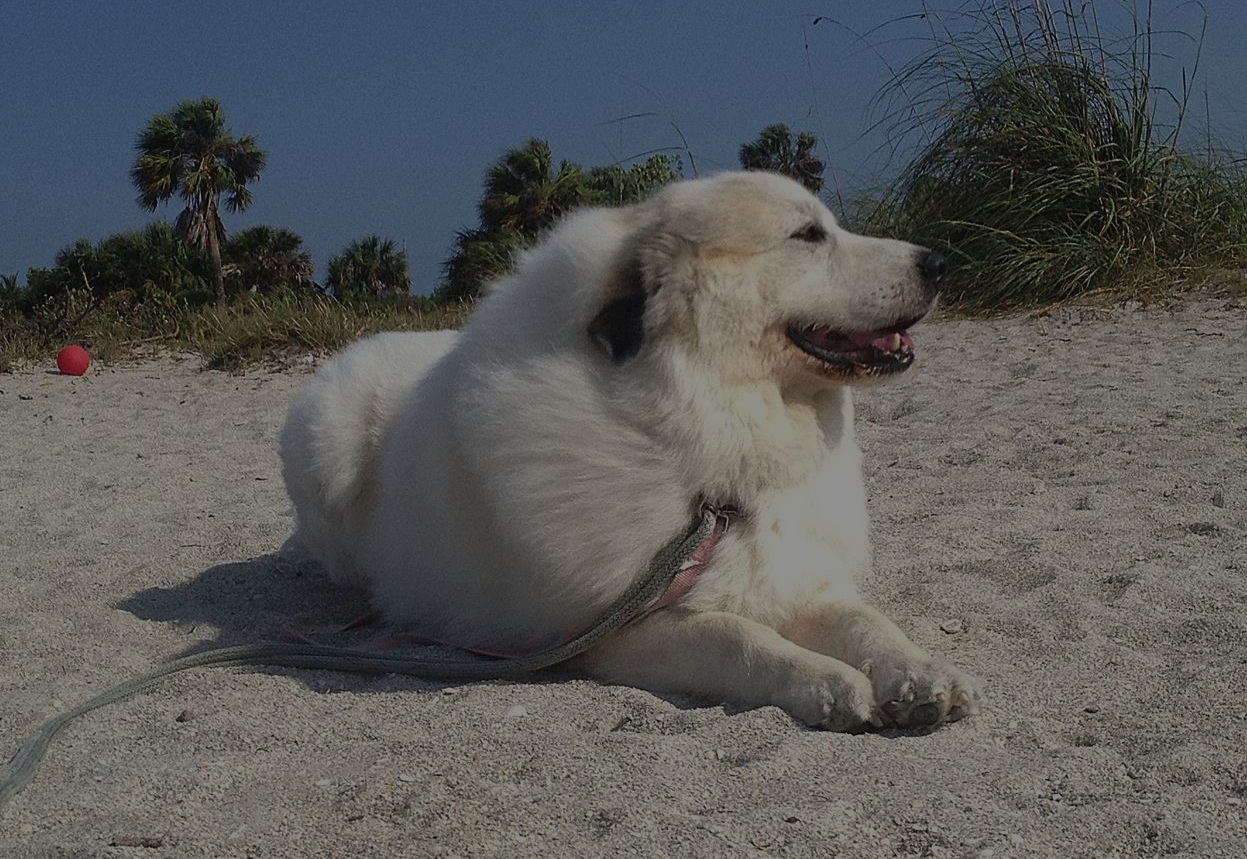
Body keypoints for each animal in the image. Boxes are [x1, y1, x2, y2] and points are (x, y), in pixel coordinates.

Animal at [283, 169, 982, 728]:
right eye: (808, 235)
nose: (938, 263)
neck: (714, 444)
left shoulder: (796, 576)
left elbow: (867, 622)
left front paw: (921, 674)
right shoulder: (620, 629)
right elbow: (739, 636)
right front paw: (827, 682)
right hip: (328, 443)